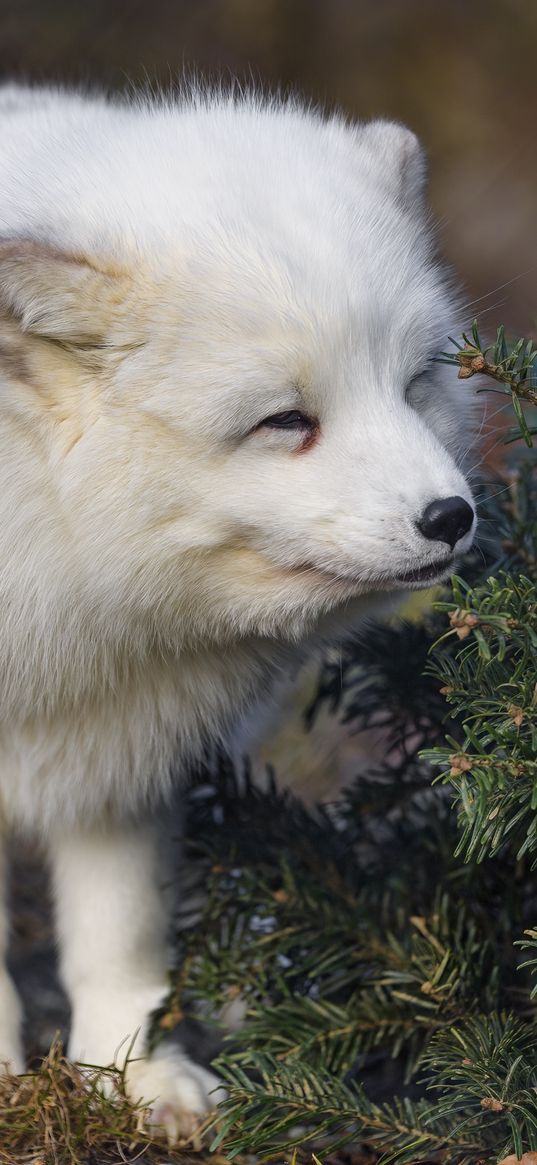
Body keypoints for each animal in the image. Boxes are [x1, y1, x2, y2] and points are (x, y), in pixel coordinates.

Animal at [0, 84, 475, 1137]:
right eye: (284, 420)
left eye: (414, 382)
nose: (452, 517)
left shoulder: (117, 755)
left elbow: (122, 942)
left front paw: (133, 1079)